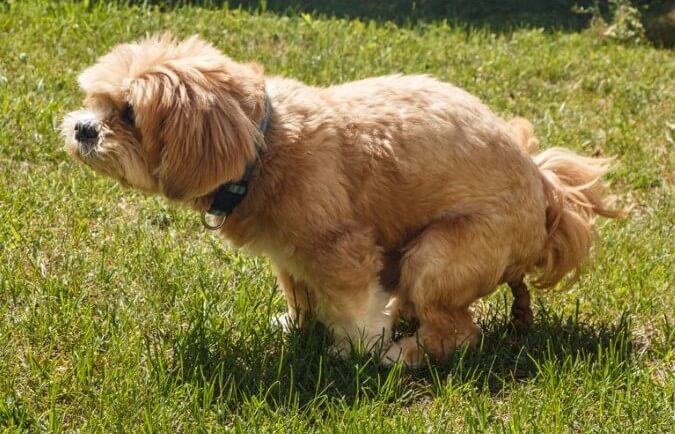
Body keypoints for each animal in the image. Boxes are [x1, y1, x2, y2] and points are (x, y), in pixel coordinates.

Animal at [62, 34, 624, 366]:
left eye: (128, 114)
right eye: (97, 102)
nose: (84, 128)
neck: (263, 144)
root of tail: (547, 192)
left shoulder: (339, 247)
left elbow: (352, 310)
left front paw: (354, 349)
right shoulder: (290, 256)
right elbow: (301, 295)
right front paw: (298, 326)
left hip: (438, 255)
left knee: (458, 332)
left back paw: (402, 352)